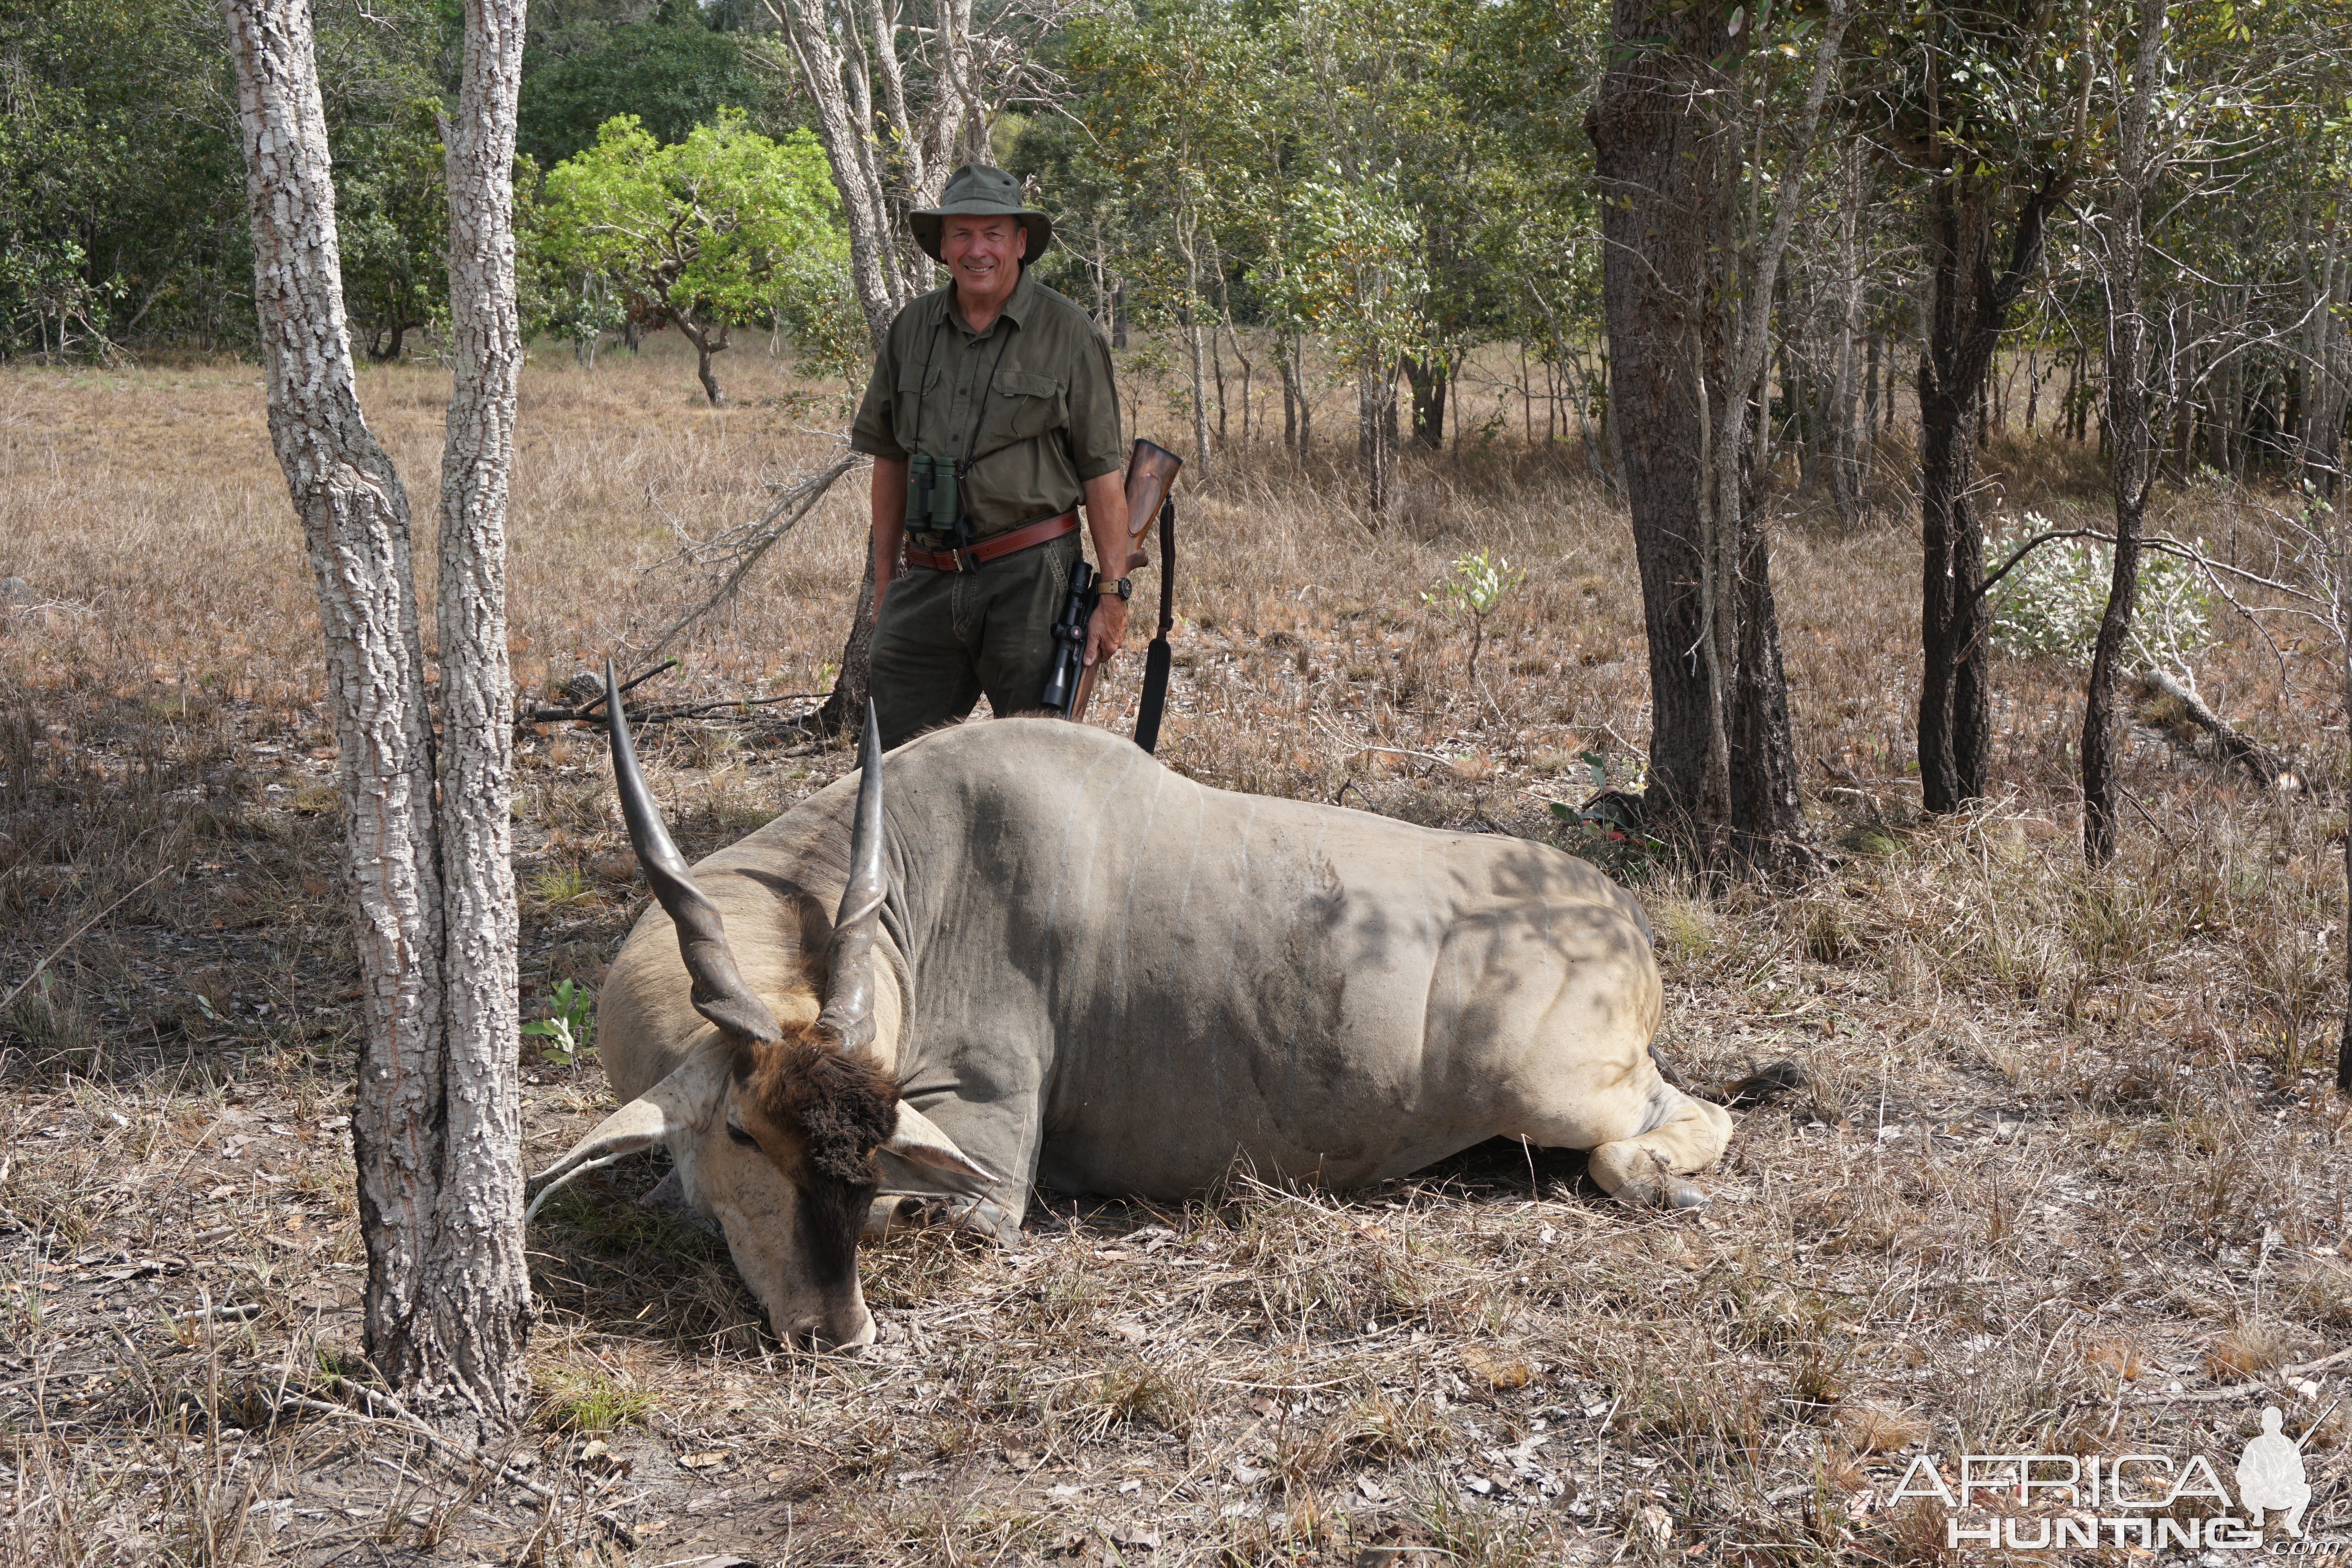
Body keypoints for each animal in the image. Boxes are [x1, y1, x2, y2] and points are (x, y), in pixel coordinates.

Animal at [539, 677, 1750, 1354]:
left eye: (867, 1140)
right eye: (744, 1132)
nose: (834, 1333)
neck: (909, 879)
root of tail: (1621, 915)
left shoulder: (976, 1174)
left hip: (1554, 1090)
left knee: (1683, 1127)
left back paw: (1670, 1187)